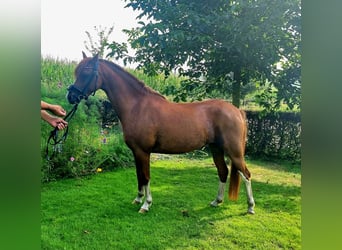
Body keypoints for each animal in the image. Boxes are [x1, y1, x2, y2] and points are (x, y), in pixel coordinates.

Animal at [67, 51, 255, 214]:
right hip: (216, 148)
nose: (71, 97)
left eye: (86, 72)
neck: (137, 106)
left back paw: (250, 207)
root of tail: (237, 110)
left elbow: (146, 176)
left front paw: (146, 205)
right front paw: (138, 199)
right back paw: (217, 201)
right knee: (223, 172)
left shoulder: (143, 151)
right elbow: (139, 176)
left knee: (246, 174)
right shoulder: (136, 152)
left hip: (234, 152)